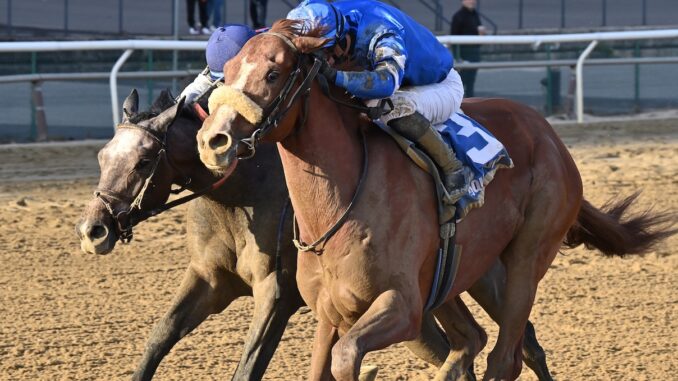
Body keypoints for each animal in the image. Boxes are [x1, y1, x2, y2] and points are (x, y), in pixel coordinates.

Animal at [77, 90, 556, 380]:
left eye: (143, 162)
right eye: (102, 156)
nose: (93, 229)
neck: (243, 190)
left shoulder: (277, 293)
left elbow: (249, 364)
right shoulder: (210, 279)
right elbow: (159, 337)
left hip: (486, 277)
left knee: (523, 343)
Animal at [197, 21, 676, 380]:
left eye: (273, 73)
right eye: (228, 68)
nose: (213, 140)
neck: (340, 204)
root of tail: (551, 136)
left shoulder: (402, 306)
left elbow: (347, 358)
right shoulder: (331, 313)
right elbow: (325, 364)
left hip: (528, 257)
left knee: (504, 356)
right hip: (465, 273)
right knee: (479, 341)